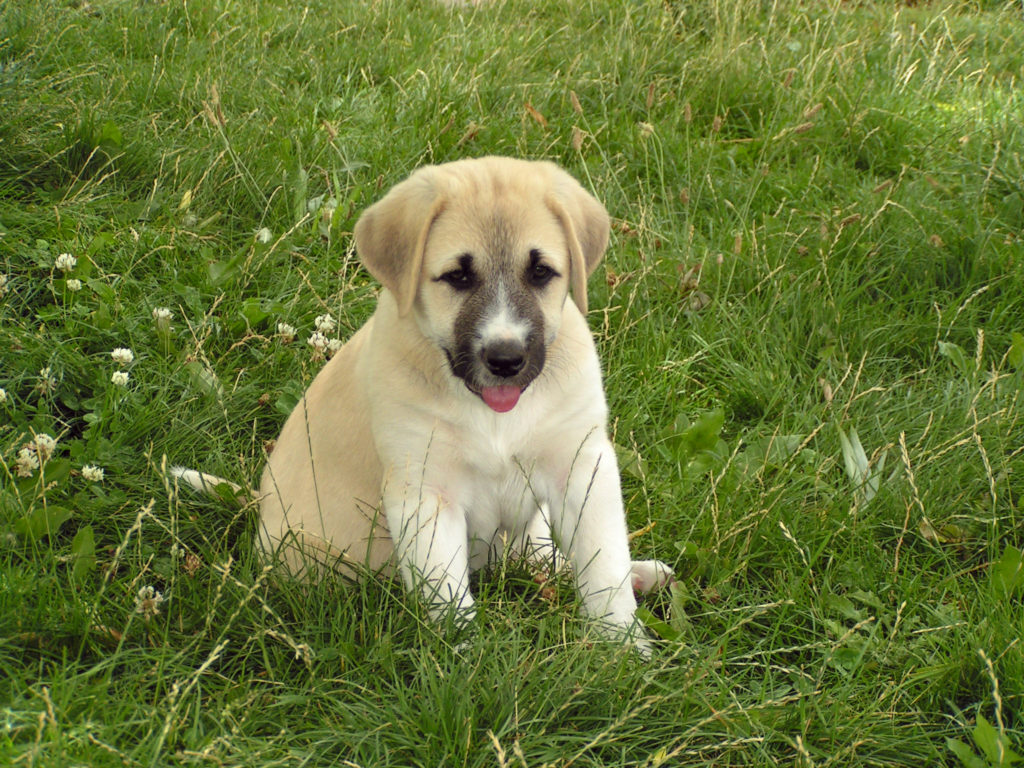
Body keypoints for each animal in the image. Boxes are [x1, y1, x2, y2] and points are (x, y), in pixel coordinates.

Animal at [219, 159, 671, 651]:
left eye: (540, 272)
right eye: (458, 276)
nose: (506, 359)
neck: (493, 416)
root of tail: (257, 503)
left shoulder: (581, 465)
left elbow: (604, 565)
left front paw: (624, 645)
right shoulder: (426, 492)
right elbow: (447, 592)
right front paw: (466, 658)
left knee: (541, 556)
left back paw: (640, 575)